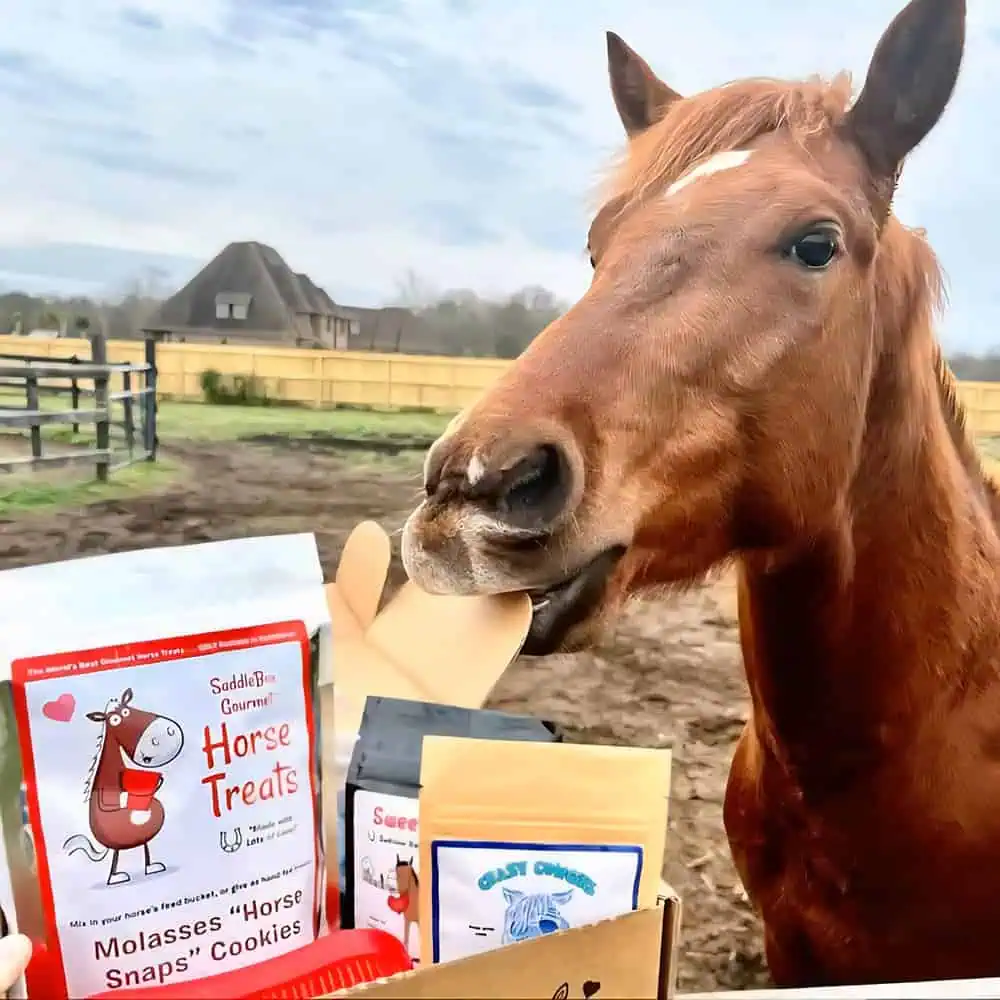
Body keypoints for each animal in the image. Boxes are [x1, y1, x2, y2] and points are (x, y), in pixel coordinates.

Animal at [64, 687, 184, 886]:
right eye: (114, 720)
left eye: (127, 710)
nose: (167, 733)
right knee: (117, 852)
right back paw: (116, 877)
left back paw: (151, 867)